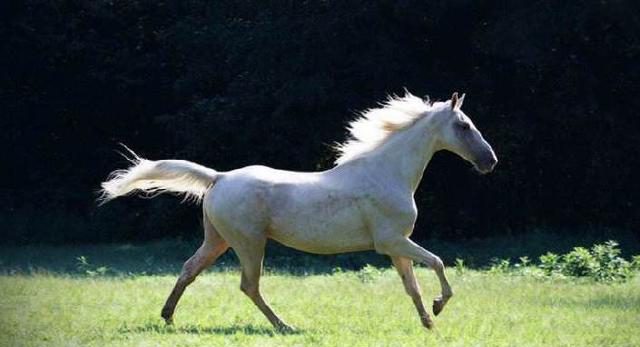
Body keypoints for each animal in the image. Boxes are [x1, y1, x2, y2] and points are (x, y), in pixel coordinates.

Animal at [101, 92, 500, 332]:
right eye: (463, 125)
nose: (490, 161)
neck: (387, 172)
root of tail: (219, 177)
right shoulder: (392, 242)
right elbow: (437, 263)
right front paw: (439, 306)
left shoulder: (396, 246)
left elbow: (411, 285)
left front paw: (428, 322)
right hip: (249, 243)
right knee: (249, 285)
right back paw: (284, 326)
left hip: (218, 241)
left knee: (189, 270)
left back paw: (168, 317)